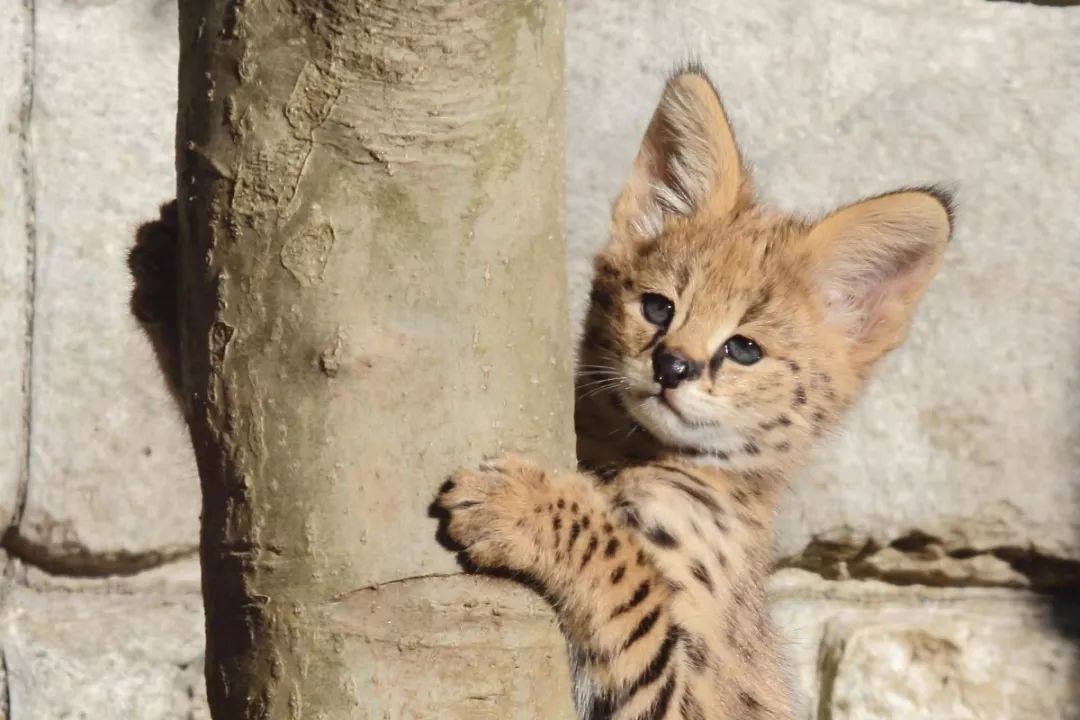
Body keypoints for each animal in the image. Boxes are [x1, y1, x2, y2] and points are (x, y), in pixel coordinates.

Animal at [434, 64, 950, 716]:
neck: (630, 456)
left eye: (744, 349)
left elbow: (629, 574)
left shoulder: (687, 699)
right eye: (658, 308)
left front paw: (517, 504)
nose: (672, 366)